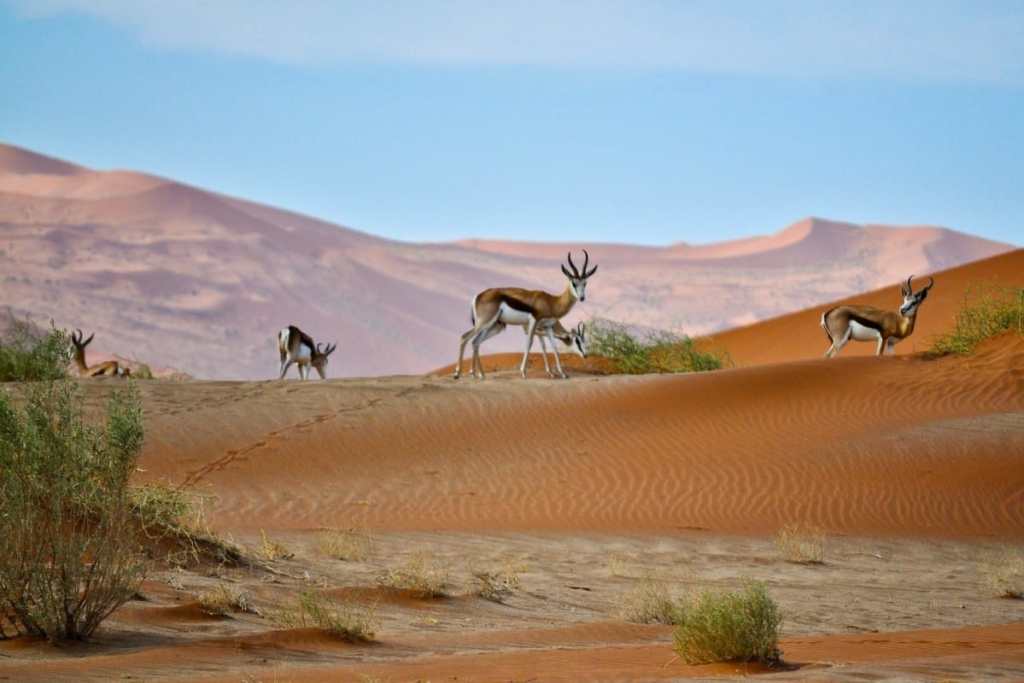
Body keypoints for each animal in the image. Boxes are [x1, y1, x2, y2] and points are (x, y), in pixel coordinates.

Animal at [454, 250, 598, 380]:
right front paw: (523, 372)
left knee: (475, 342)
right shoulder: (533, 322)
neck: (551, 302)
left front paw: (562, 374)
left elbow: (554, 347)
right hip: (484, 323)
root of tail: (478, 296)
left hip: (494, 326)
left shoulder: (547, 326)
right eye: (574, 283)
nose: (582, 298)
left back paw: (479, 375)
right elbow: (529, 343)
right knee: (464, 337)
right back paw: (458, 373)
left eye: (585, 283)